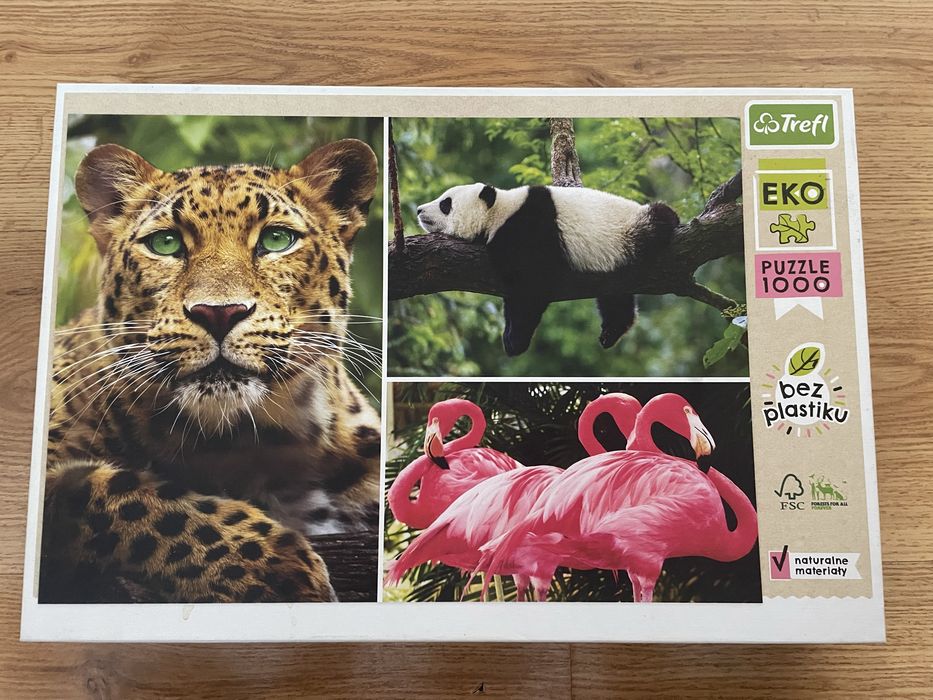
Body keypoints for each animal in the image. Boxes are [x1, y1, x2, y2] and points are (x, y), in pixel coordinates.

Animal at [416, 183, 679, 356]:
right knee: (614, 298)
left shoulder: (530, 229)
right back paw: (611, 332)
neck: (500, 211)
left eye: (445, 204)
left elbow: (531, 287)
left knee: (658, 218)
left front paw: (514, 340)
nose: (419, 209)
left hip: (629, 230)